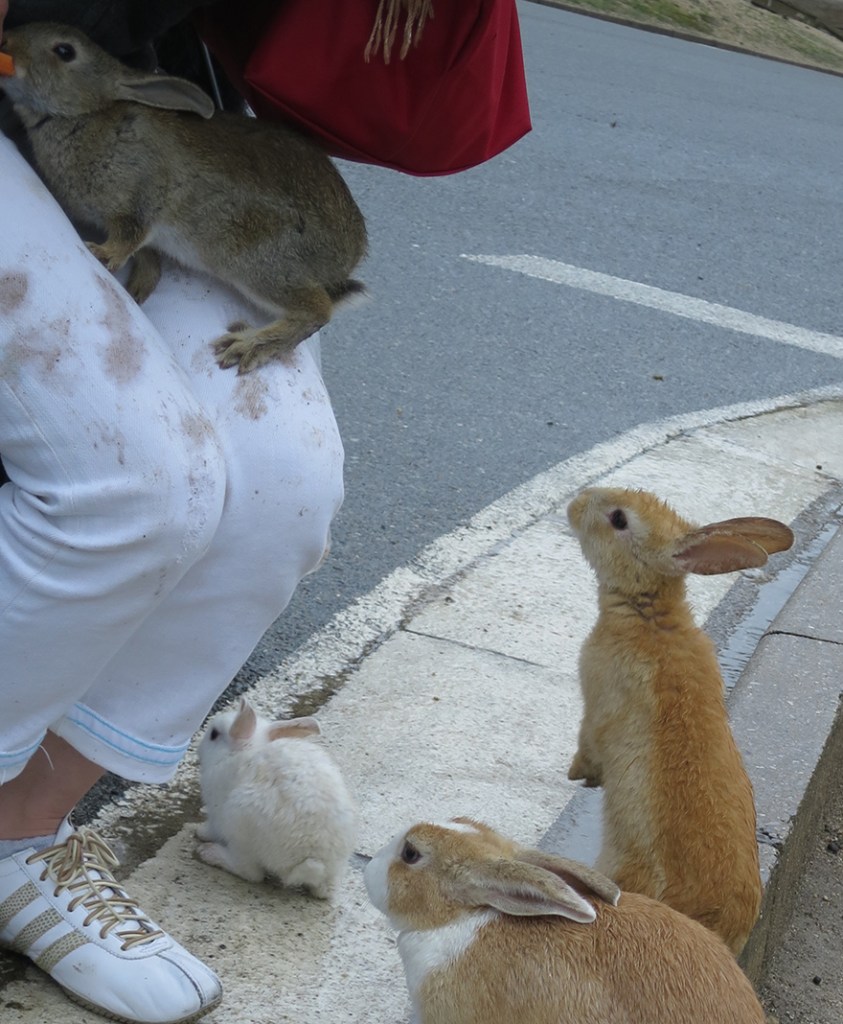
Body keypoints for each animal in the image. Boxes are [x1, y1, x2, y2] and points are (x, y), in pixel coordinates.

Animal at [0, 22, 368, 374]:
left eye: (65, 51)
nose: (5, 42)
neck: (82, 115)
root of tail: (345, 261)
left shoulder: (140, 198)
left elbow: (129, 236)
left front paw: (101, 254)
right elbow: (147, 254)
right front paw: (139, 288)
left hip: (259, 263)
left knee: (316, 311)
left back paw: (247, 346)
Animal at [196, 696, 358, 898]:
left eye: (214, 734)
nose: (198, 750)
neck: (241, 751)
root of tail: (318, 864)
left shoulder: (217, 812)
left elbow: (212, 829)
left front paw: (200, 832)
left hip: (239, 825)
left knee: (250, 872)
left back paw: (208, 853)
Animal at [566, 486, 794, 955]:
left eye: (619, 519)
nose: (575, 504)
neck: (648, 611)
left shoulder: (597, 705)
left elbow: (589, 744)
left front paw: (578, 775)